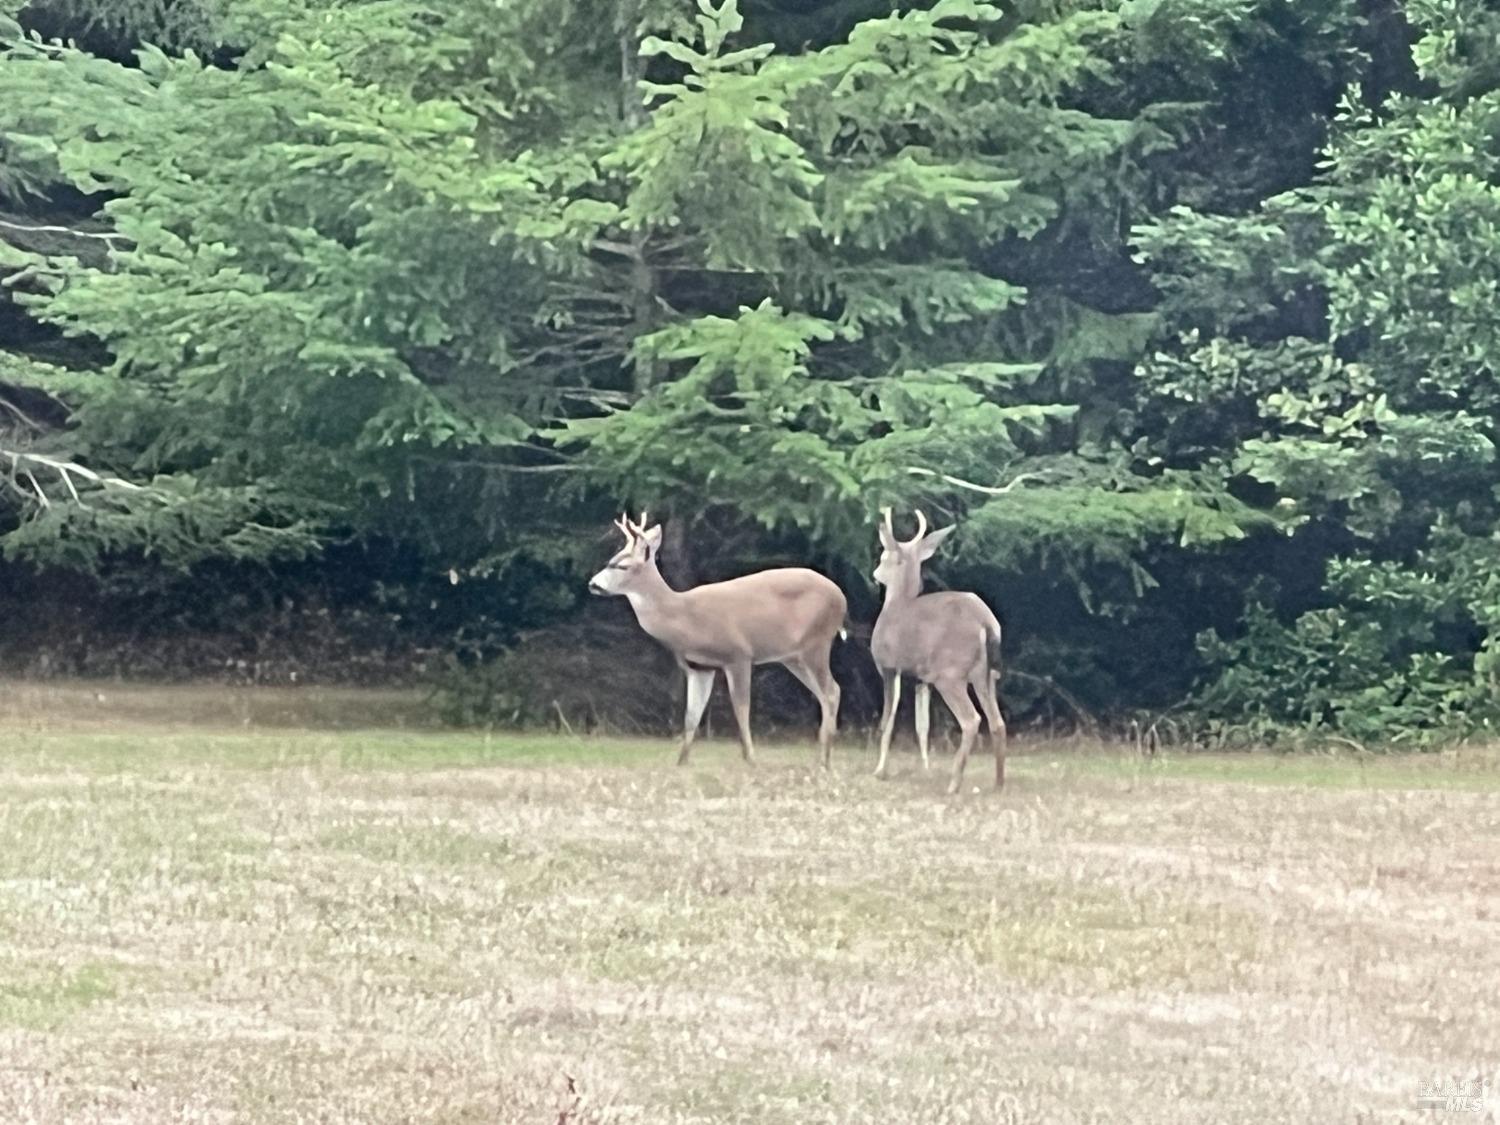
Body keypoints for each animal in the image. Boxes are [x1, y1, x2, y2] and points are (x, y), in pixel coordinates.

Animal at [582, 516, 846, 774]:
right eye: (611, 560)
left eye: (622, 566)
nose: (593, 584)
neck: (683, 618)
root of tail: (841, 597)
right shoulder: (699, 667)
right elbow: (691, 715)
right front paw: (682, 761)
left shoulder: (739, 655)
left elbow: (741, 708)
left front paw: (750, 759)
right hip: (793, 656)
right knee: (828, 692)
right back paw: (821, 758)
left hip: (817, 642)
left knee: (831, 691)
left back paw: (824, 761)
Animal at [870, 510, 1008, 792]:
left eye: (884, 557)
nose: (875, 573)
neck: (895, 605)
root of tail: (986, 623)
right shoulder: (922, 679)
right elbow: (922, 726)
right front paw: (926, 769)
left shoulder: (889, 666)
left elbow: (887, 720)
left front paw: (879, 771)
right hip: (985, 675)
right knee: (998, 722)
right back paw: (998, 782)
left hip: (951, 675)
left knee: (971, 720)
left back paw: (954, 783)